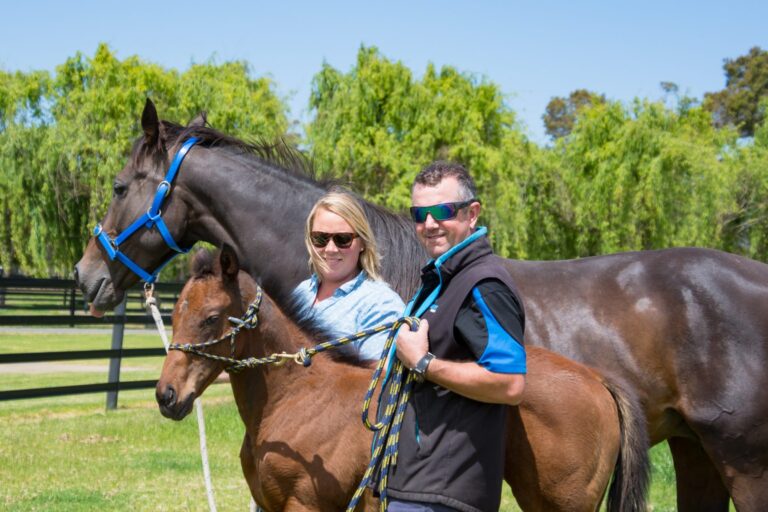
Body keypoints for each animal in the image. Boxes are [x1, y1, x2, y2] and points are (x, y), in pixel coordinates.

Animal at [157, 247, 648, 511]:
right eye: (175, 311)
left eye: (212, 317)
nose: (166, 396)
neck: (296, 396)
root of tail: (598, 380)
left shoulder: (305, 503)